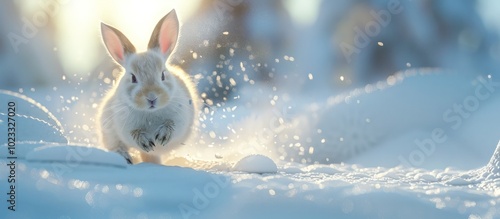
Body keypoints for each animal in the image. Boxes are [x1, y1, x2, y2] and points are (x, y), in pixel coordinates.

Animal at [96, 10, 198, 164]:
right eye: (133, 78)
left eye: (163, 75)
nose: (151, 97)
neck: (151, 112)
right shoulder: (126, 127)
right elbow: (135, 134)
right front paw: (146, 143)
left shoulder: (179, 119)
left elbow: (171, 126)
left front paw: (161, 137)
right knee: (116, 146)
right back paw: (126, 158)